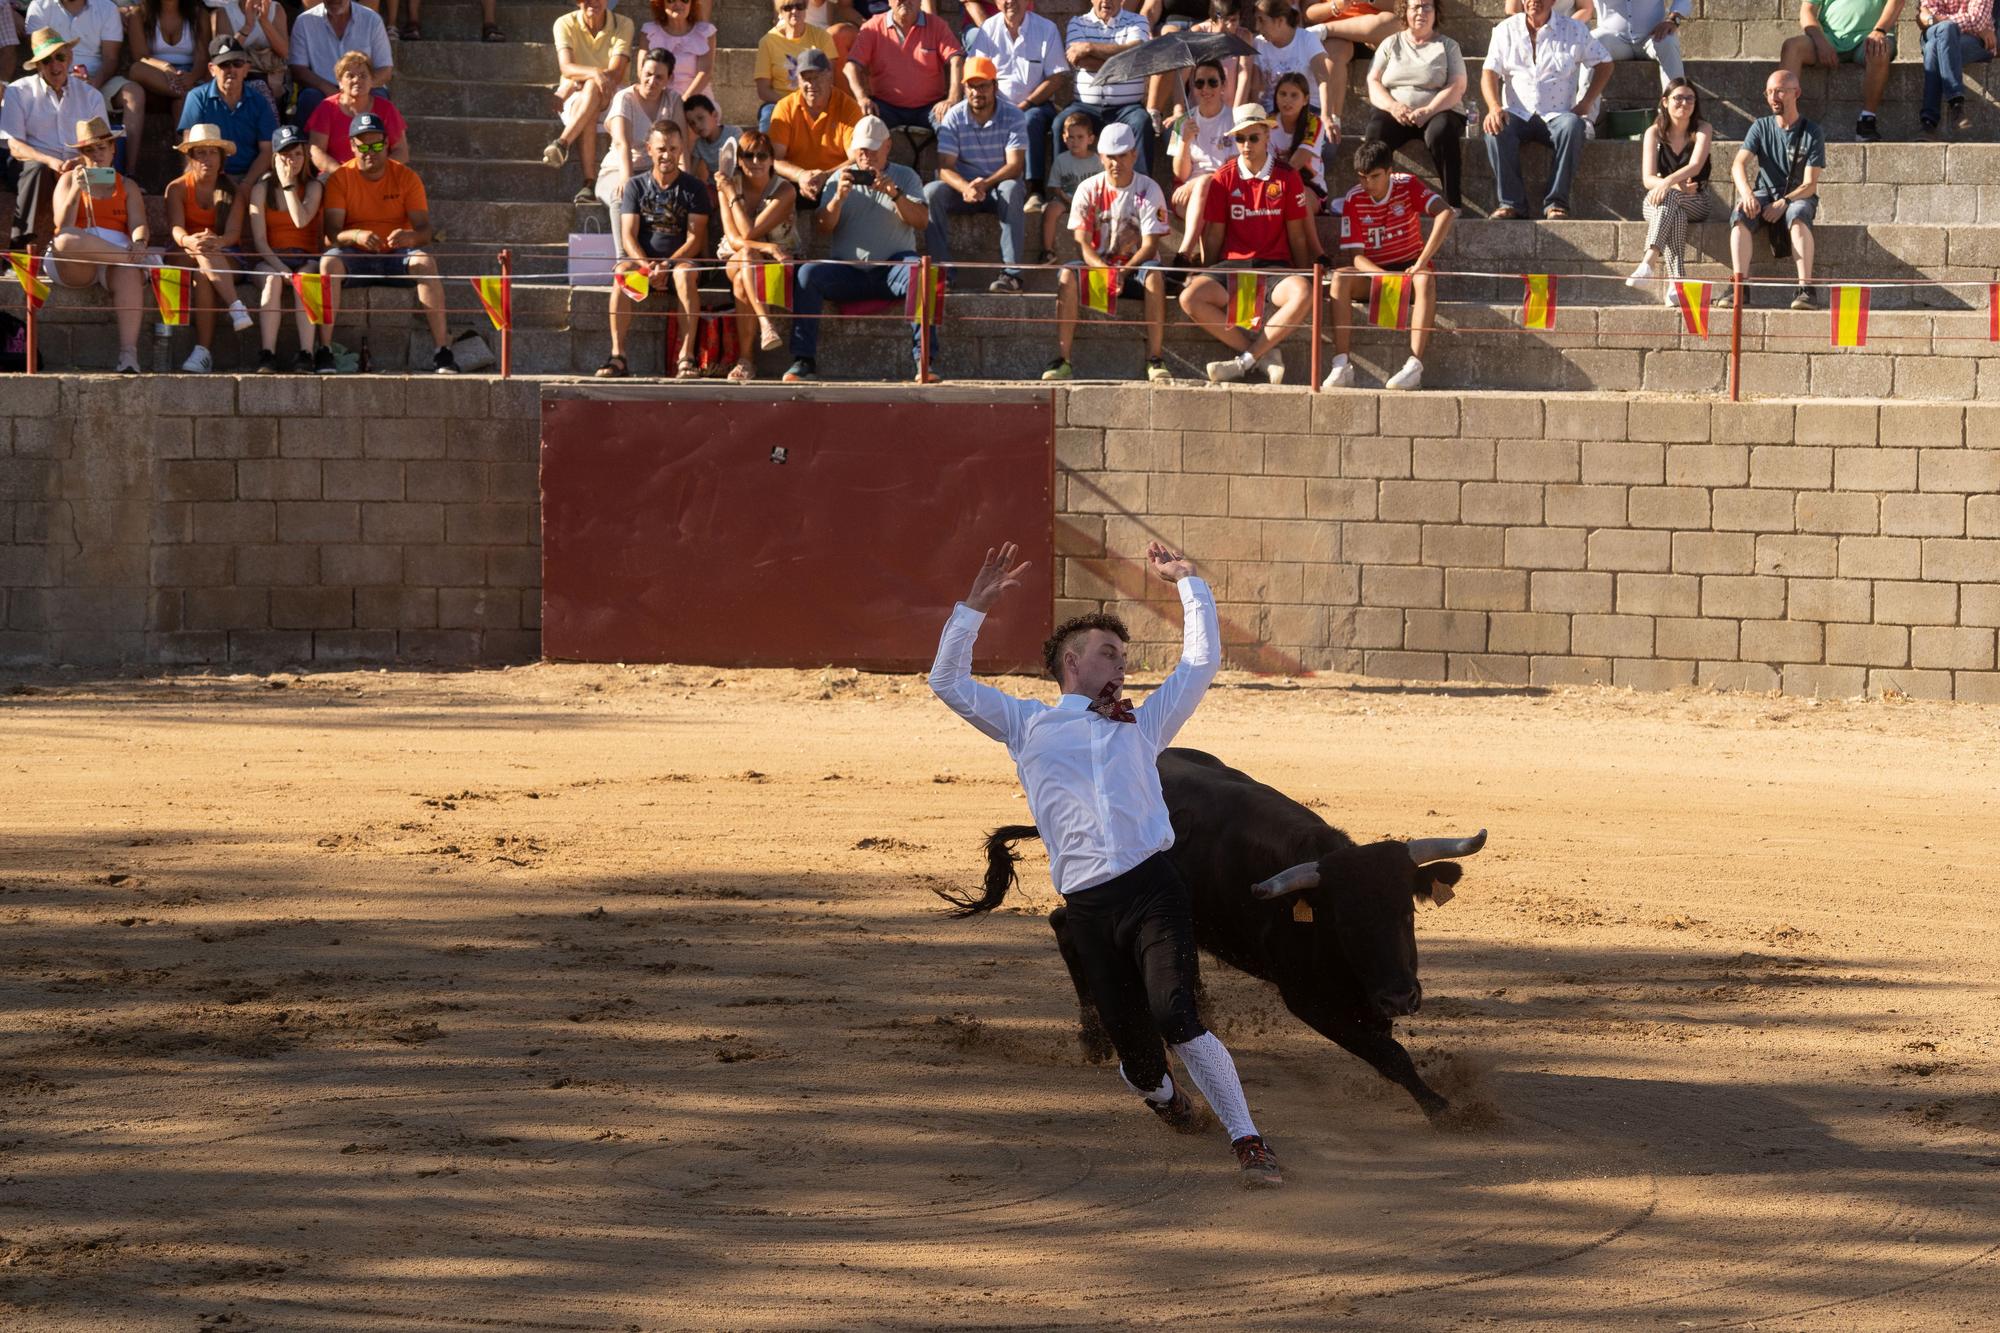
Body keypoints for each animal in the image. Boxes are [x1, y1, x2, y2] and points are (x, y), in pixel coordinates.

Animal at [940, 740, 1488, 1112]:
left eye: (1407, 911)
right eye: (1346, 922)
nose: (1402, 997)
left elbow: (1384, 1041)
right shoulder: (1306, 999)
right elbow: (1389, 1054)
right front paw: (1445, 1111)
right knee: (1066, 929)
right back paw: (1094, 1040)